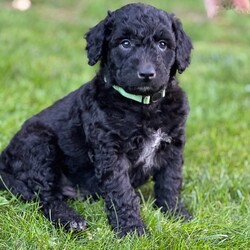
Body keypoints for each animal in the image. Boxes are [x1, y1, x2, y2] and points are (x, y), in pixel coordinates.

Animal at [0, 3, 192, 236]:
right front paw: (132, 230)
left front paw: (176, 215)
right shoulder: (110, 150)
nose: (146, 74)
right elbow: (122, 192)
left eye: (163, 44)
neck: (143, 105)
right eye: (125, 43)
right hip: (38, 143)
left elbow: (170, 182)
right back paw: (70, 219)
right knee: (44, 196)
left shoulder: (173, 144)